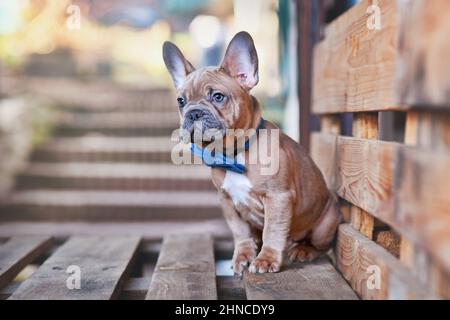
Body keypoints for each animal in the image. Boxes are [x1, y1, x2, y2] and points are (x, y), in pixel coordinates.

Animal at [163, 31, 342, 274]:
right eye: (181, 101)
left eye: (217, 97)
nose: (193, 113)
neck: (233, 153)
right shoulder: (228, 201)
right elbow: (240, 232)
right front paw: (243, 255)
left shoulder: (278, 198)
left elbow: (273, 231)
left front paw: (266, 259)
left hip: (325, 224)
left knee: (318, 245)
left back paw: (303, 250)